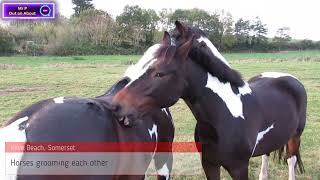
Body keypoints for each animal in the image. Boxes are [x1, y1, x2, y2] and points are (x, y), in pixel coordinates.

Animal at [110, 21, 308, 180]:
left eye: (159, 73)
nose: (116, 105)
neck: (223, 115)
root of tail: (289, 78)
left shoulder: (239, 168)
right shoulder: (209, 164)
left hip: (295, 137)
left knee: (291, 161)